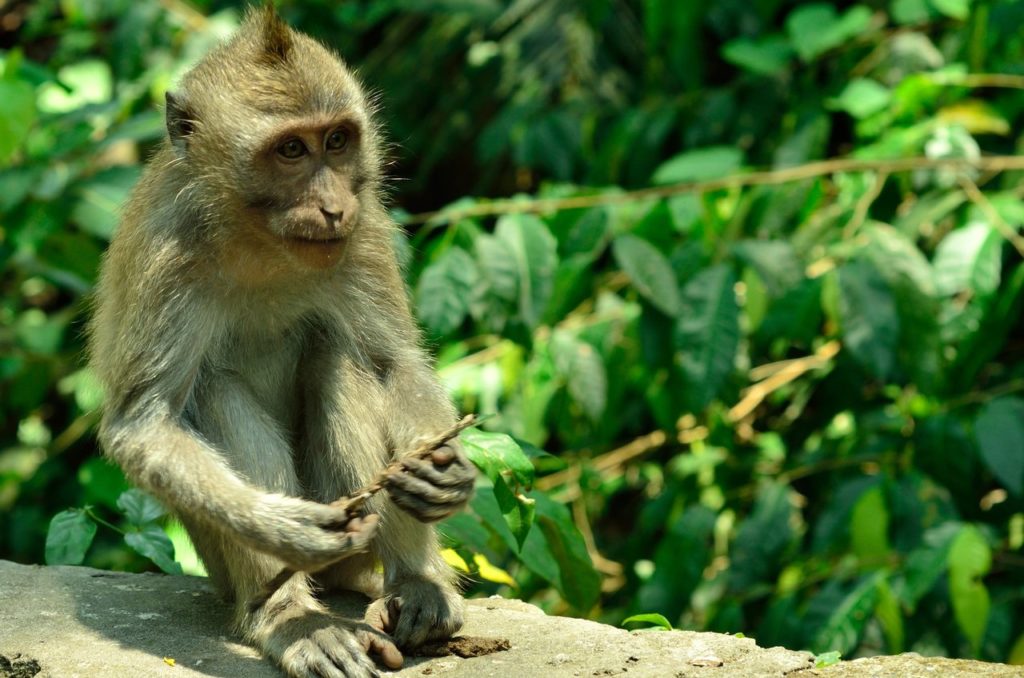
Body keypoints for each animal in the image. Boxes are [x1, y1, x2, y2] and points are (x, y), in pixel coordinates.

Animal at [87, 6, 477, 677]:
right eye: (291, 149)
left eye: (337, 141)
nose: (331, 207)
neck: (257, 234)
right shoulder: (166, 254)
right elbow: (144, 425)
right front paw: (284, 529)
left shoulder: (364, 229)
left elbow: (393, 362)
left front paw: (445, 469)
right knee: (210, 390)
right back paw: (294, 619)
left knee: (342, 358)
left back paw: (416, 587)